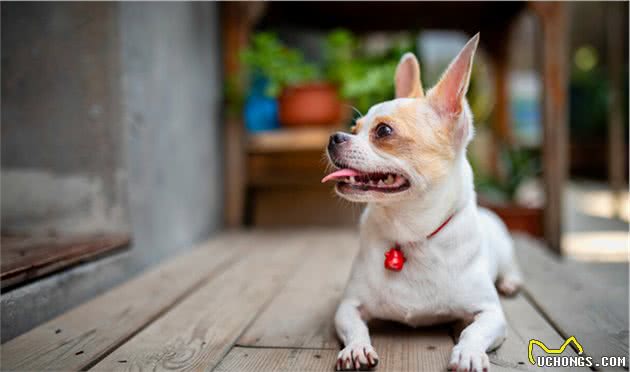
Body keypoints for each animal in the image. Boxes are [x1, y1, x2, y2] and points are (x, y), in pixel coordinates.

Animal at [320, 33, 524, 370]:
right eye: (353, 129)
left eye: (383, 131)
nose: (334, 137)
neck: (410, 234)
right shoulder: (348, 306)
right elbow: (356, 327)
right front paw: (356, 348)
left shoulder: (490, 314)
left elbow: (474, 331)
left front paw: (468, 352)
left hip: (505, 249)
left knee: (511, 267)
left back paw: (510, 282)